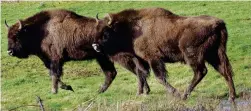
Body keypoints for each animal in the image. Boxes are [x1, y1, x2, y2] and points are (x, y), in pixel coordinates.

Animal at [4, 9, 151, 95]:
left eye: (17, 36)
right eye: (8, 36)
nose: (9, 52)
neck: (43, 30)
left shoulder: (55, 60)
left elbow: (54, 75)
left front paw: (54, 91)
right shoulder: (50, 61)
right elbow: (54, 75)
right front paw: (68, 87)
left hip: (119, 57)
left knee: (136, 71)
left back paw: (141, 92)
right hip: (103, 58)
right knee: (113, 73)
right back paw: (100, 91)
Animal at [93, 7, 236, 101]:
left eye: (105, 32)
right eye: (97, 29)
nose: (95, 46)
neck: (131, 29)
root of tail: (218, 23)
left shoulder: (153, 58)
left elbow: (159, 77)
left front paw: (175, 93)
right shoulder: (140, 60)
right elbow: (140, 74)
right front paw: (140, 93)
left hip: (193, 55)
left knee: (201, 72)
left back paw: (184, 95)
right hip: (215, 55)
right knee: (225, 71)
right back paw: (232, 96)